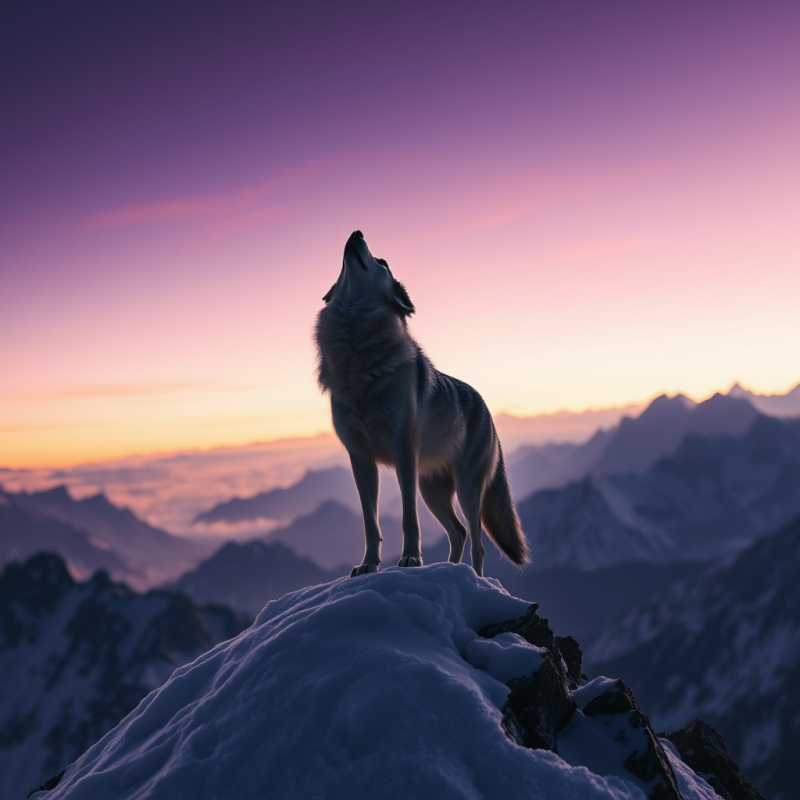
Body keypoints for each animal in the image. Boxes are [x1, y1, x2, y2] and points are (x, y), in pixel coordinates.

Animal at [315, 230, 528, 577]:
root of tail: (486, 408)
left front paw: (412, 559)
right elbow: (370, 524)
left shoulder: (404, 453)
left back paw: (474, 578)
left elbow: (408, 519)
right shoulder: (360, 459)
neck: (358, 355)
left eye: (382, 262)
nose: (357, 232)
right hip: (433, 493)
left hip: (467, 491)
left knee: (478, 543)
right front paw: (368, 565)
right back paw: (448, 570)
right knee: (459, 532)